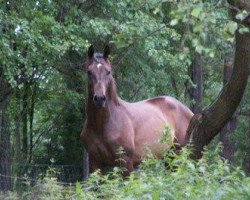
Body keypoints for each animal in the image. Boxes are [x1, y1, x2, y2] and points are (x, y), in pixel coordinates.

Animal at [80, 45, 193, 175]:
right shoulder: (95, 162)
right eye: (89, 72)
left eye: (108, 72)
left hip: (178, 155)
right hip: (169, 157)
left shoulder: (126, 162)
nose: (99, 98)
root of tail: (188, 112)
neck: (104, 124)